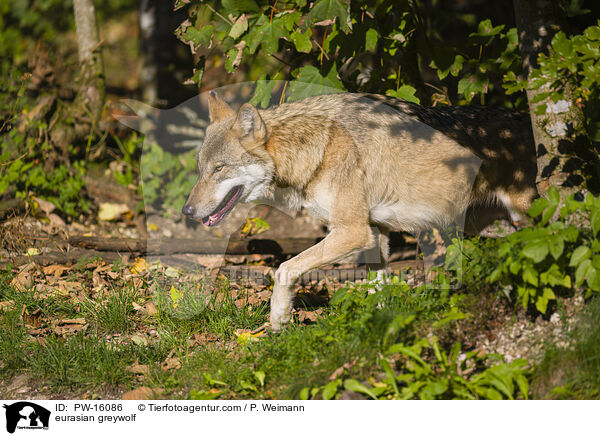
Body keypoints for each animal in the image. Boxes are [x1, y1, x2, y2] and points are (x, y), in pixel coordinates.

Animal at [180, 93, 536, 330]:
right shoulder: (376, 233)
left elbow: (283, 268)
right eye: (201, 169)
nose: (187, 211)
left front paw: (278, 320)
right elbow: (376, 287)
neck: (316, 149)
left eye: (219, 168)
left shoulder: (352, 231)